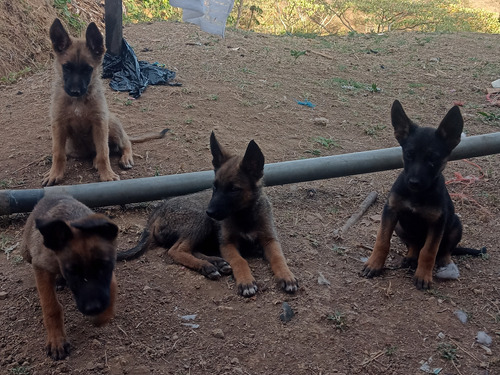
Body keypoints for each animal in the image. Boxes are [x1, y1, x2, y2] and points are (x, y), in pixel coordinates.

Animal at [21, 195, 118, 360]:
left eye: (104, 266)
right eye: (72, 272)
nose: (94, 308)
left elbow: (112, 287)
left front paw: (103, 316)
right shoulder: (41, 266)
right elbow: (51, 306)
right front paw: (57, 340)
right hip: (26, 253)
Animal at [42, 19, 134, 187]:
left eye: (87, 70)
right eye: (67, 67)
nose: (75, 91)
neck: (78, 102)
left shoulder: (100, 122)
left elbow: (104, 152)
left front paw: (107, 174)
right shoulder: (58, 124)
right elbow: (58, 153)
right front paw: (54, 174)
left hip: (111, 123)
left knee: (125, 142)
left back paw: (125, 158)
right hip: (73, 147)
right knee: (92, 153)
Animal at [119, 134, 298, 298]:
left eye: (234, 189)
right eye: (214, 186)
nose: (210, 212)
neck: (244, 215)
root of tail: (157, 210)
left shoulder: (270, 239)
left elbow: (278, 257)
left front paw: (287, 275)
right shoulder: (226, 243)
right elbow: (239, 260)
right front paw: (246, 281)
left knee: (188, 249)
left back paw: (217, 263)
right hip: (200, 220)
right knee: (176, 250)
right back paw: (207, 266)